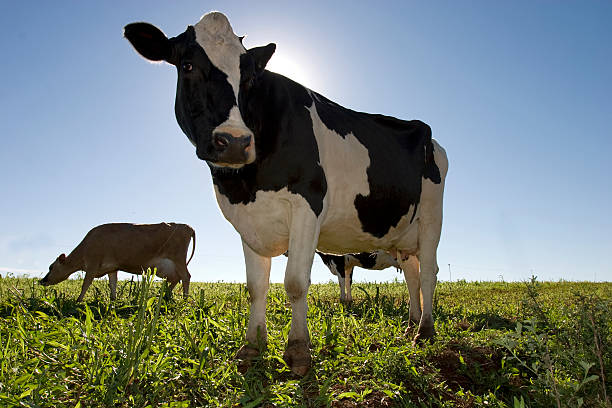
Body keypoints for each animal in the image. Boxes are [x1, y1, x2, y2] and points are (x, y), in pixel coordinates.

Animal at [39, 222, 196, 302]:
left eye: (51, 267)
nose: (42, 280)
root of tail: (188, 227)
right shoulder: (112, 268)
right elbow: (112, 284)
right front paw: (113, 300)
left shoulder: (92, 265)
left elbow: (86, 283)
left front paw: (78, 300)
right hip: (167, 266)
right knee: (176, 278)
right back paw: (165, 295)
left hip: (178, 259)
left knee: (185, 276)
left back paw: (185, 300)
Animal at [125, 11, 450, 376]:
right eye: (187, 65)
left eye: (250, 77)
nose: (234, 142)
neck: (247, 183)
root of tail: (426, 132)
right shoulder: (247, 220)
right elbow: (256, 286)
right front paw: (251, 347)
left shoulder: (308, 205)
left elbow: (295, 282)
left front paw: (298, 351)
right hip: (403, 234)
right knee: (411, 274)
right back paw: (411, 325)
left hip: (431, 217)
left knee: (429, 273)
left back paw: (425, 331)